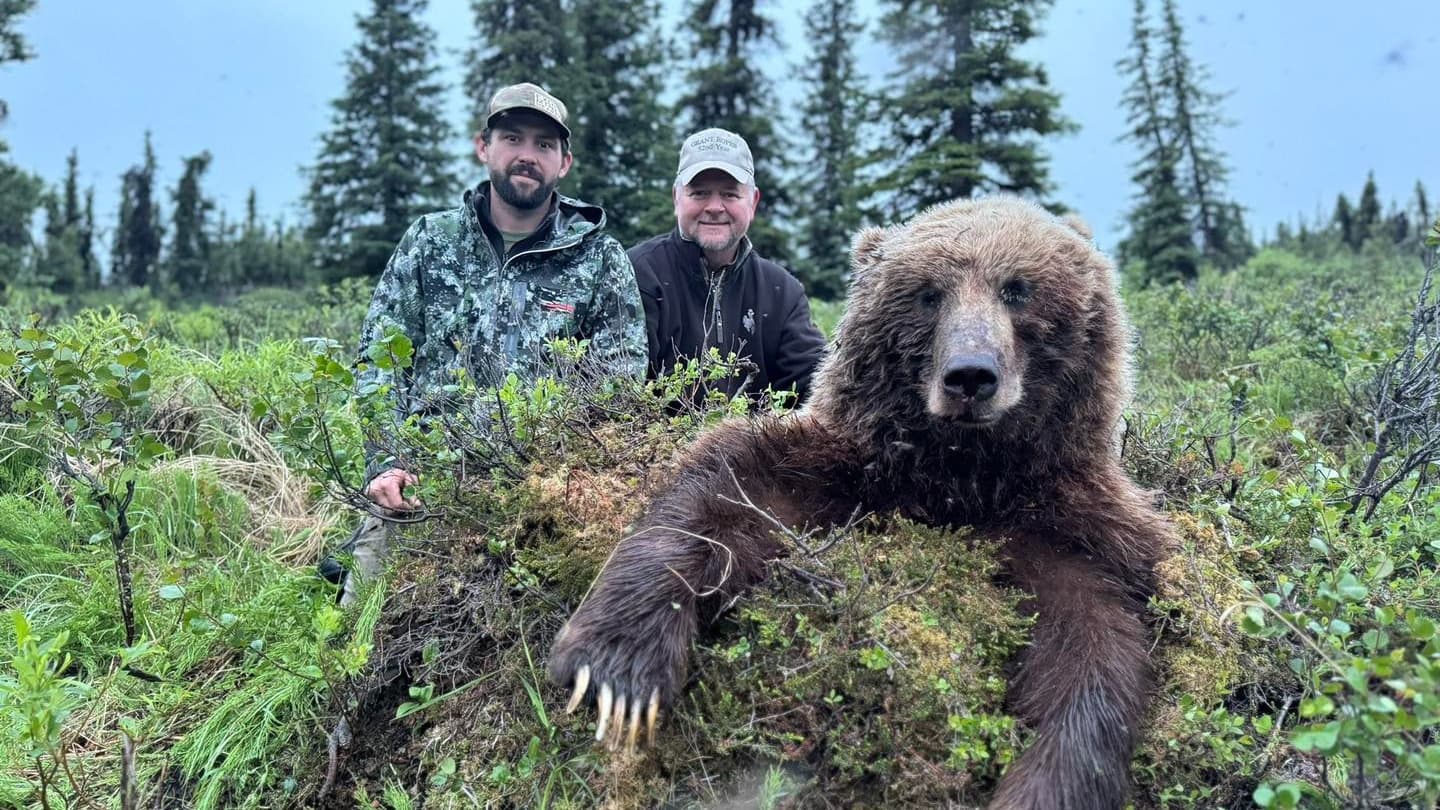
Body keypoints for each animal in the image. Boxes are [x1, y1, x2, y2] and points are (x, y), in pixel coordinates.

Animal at [548, 196, 1177, 809]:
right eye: (929, 293)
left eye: (1017, 288)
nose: (970, 376)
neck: (963, 477)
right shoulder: (846, 469)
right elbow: (723, 490)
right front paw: (618, 675)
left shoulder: (1069, 528)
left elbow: (1092, 654)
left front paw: (1041, 784)